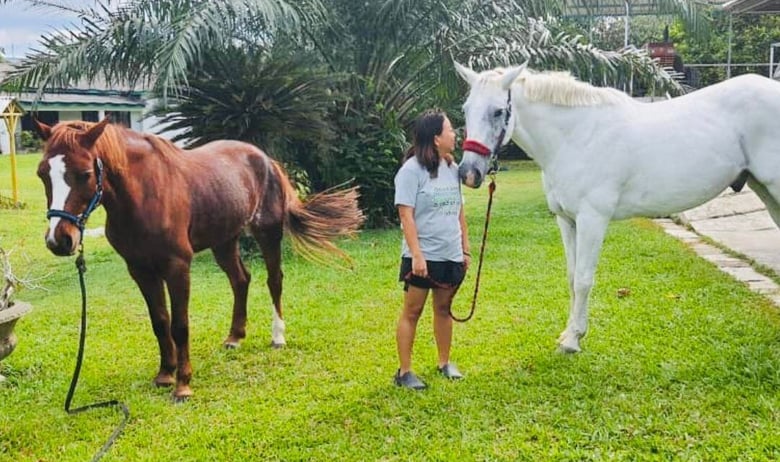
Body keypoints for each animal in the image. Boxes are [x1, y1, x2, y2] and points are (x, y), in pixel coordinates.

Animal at [35, 119, 364, 400]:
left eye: (85, 174)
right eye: (42, 174)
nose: (59, 240)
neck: (144, 195)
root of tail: (266, 160)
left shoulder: (177, 267)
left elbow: (180, 325)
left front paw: (183, 385)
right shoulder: (140, 270)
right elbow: (160, 321)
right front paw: (165, 374)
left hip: (267, 234)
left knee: (274, 281)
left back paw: (278, 337)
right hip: (224, 241)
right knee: (241, 280)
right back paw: (235, 337)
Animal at [454, 61, 780, 354]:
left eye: (498, 111)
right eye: (466, 109)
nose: (468, 173)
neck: (576, 137)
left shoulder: (592, 219)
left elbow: (584, 279)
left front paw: (573, 341)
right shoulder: (566, 220)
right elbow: (571, 277)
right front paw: (568, 333)